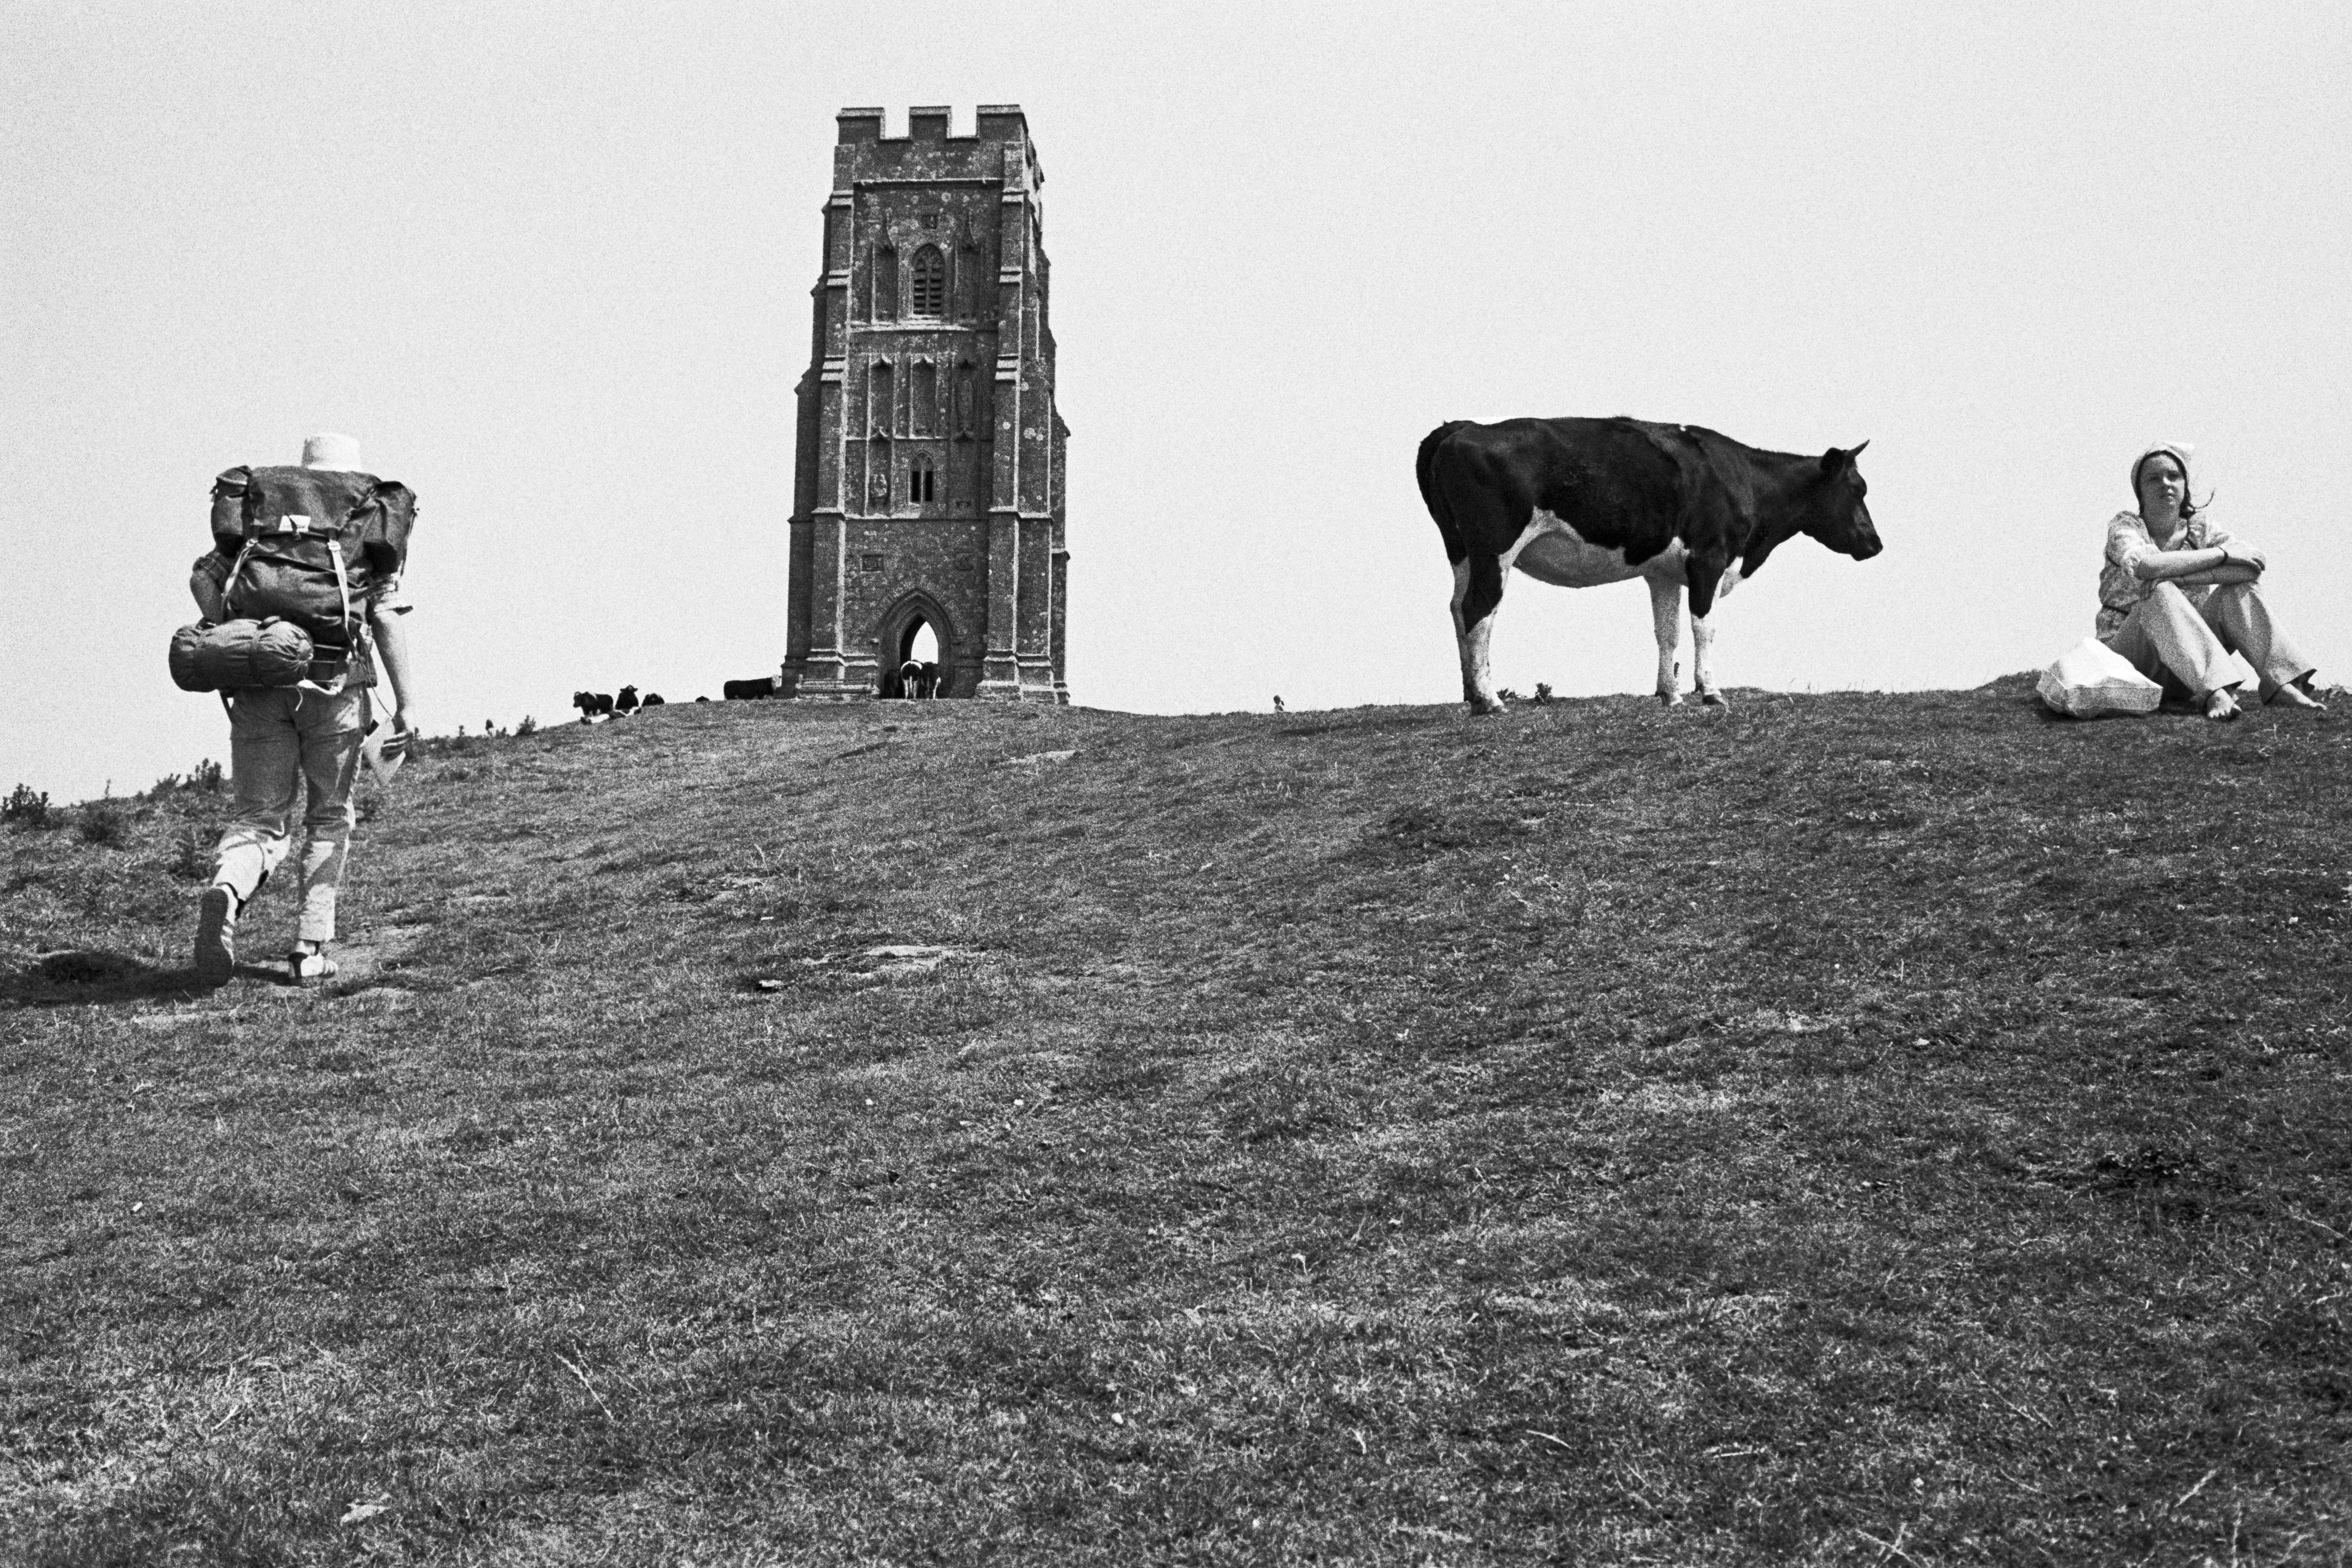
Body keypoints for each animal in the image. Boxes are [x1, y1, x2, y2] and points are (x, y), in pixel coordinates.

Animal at [1411, 413, 1891, 714]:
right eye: (1858, 488)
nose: (1875, 543)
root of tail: (1464, 427)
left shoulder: (1663, 573)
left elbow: (1668, 633)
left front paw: (1670, 695)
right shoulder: (1709, 558)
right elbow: (1704, 627)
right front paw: (1711, 693)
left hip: (1461, 550)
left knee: (1457, 608)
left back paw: (1470, 694)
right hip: (1495, 550)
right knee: (1479, 609)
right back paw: (1490, 701)